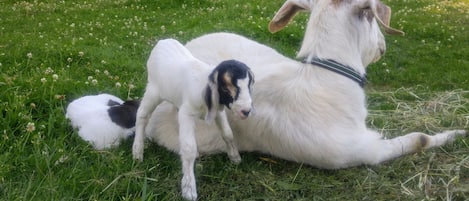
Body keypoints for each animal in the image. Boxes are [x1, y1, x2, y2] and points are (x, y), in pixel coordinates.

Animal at [132, 38, 254, 200]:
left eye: (249, 85)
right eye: (226, 87)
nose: (246, 111)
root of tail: (163, 41)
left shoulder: (217, 111)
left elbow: (228, 133)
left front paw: (235, 157)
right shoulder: (187, 113)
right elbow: (189, 148)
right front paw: (189, 189)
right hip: (153, 91)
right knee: (142, 116)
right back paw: (137, 152)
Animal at [144, 0, 466, 199]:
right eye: (372, 18)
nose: (382, 46)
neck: (323, 81)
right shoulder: (363, 151)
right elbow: (420, 139)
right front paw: (457, 134)